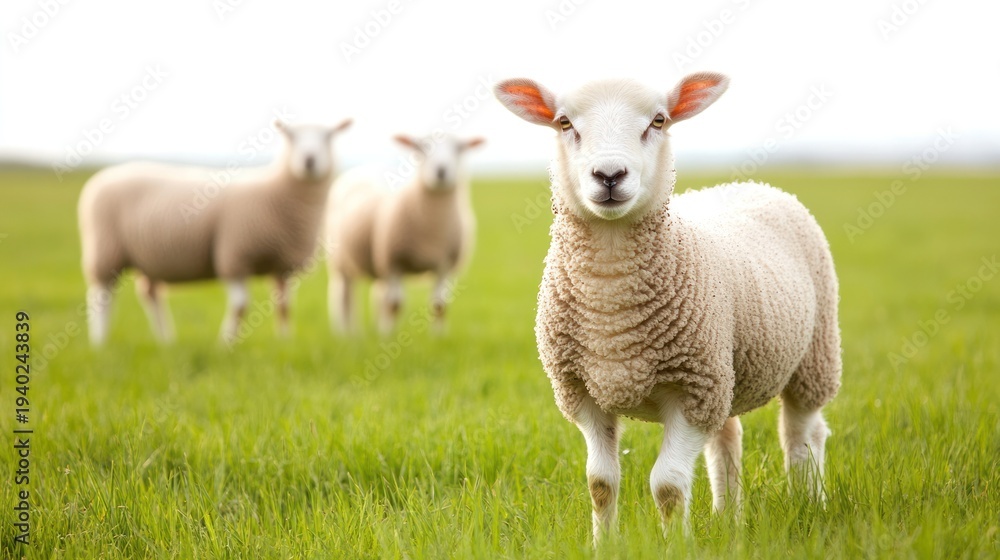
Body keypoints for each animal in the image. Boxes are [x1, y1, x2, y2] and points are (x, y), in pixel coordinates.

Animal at [78, 119, 352, 346]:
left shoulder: (281, 266)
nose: (309, 160)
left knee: (150, 295)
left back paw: (166, 340)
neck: (275, 190)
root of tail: (101, 177)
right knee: (101, 298)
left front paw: (285, 341)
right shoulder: (232, 255)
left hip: (148, 257)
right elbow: (240, 306)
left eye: (328, 137)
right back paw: (100, 343)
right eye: (291, 136)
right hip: (106, 251)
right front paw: (226, 344)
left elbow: (284, 307)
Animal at [325, 133, 483, 334]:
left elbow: (439, 305)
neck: (433, 231)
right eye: (421, 148)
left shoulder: (444, 265)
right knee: (344, 296)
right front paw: (388, 334)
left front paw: (439, 336)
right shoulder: (393, 262)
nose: (441, 171)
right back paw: (346, 334)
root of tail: (366, 169)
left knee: (377, 295)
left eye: (459, 148)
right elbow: (395, 304)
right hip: (340, 262)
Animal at [494, 73, 841, 542]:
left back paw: (810, 502)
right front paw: (604, 545)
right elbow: (600, 483)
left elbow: (668, 485)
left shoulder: (691, 391)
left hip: (812, 355)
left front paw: (676, 543)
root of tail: (751, 185)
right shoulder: (583, 392)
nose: (609, 175)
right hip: (723, 369)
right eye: (564, 123)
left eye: (658, 120)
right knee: (728, 437)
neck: (611, 307)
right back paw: (728, 519)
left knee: (803, 433)